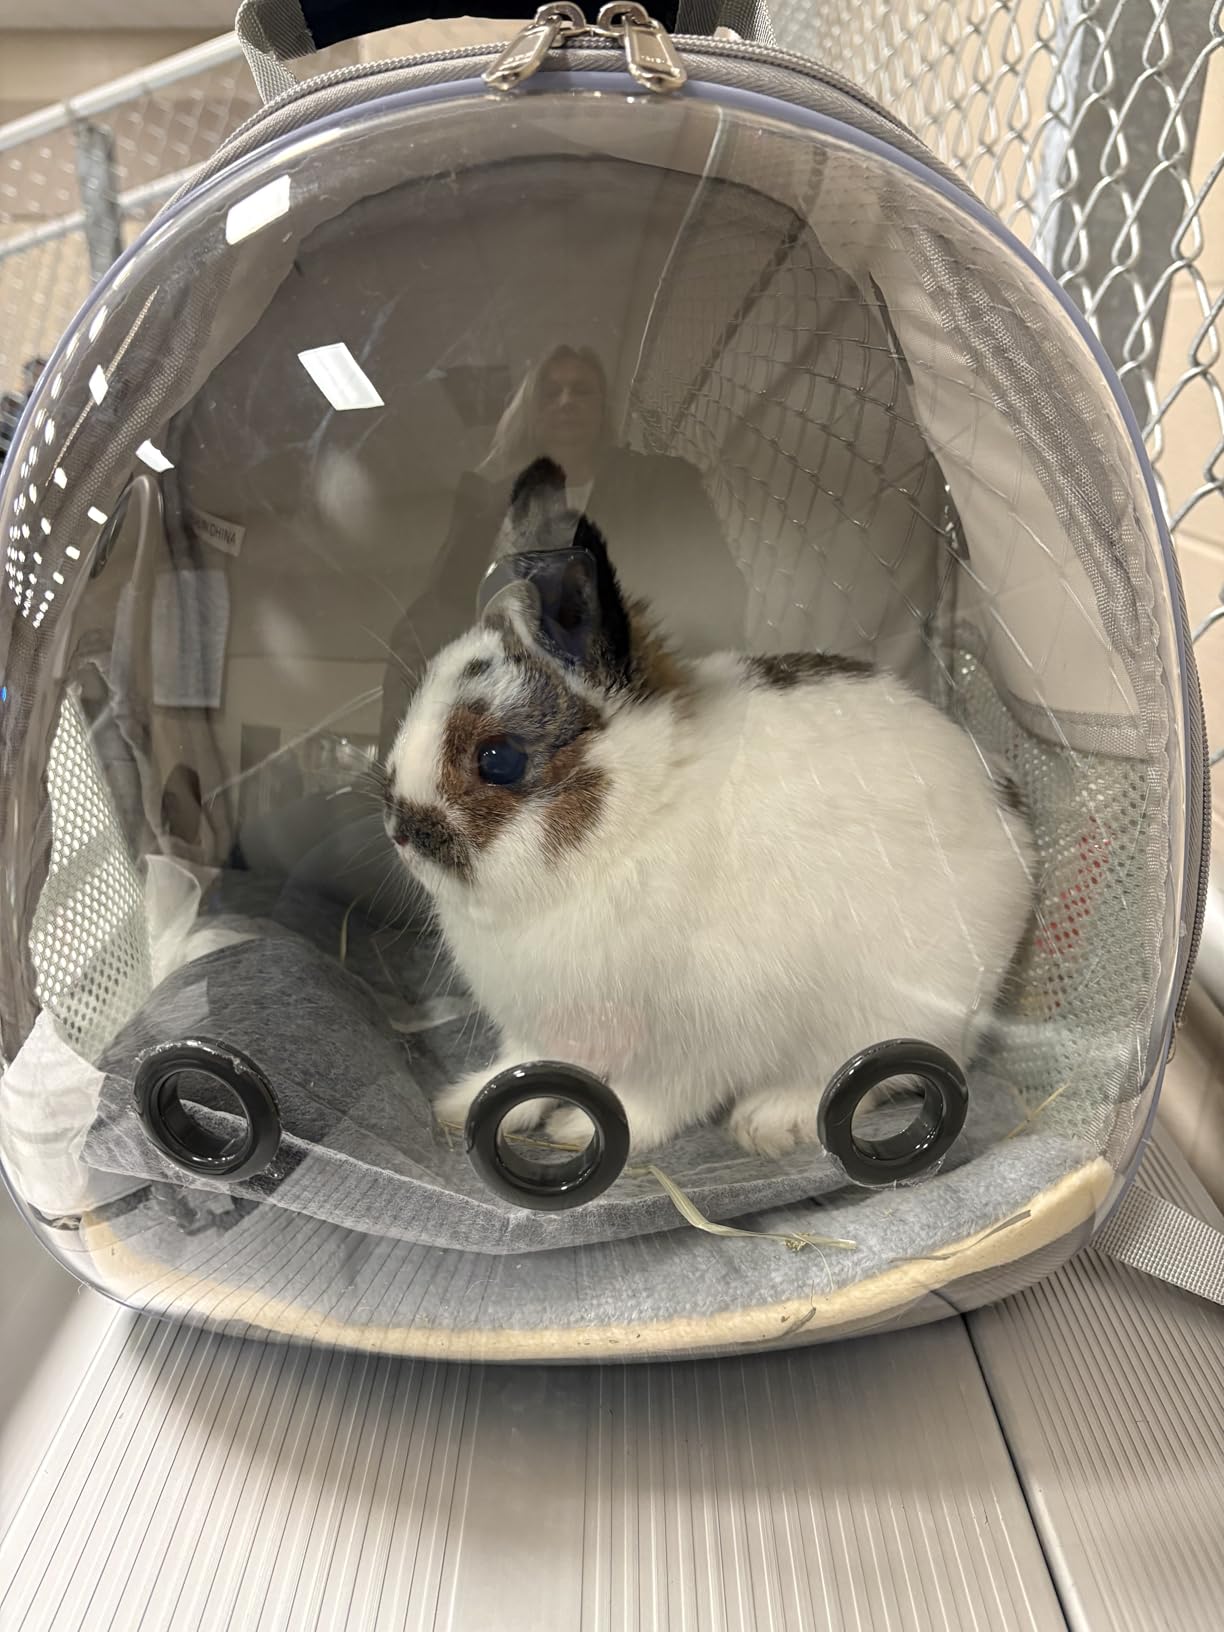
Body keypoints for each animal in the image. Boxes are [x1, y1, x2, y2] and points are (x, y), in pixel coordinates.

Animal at [384, 458, 1035, 1159]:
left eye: (497, 759)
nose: (399, 829)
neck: (629, 826)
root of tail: (1013, 827)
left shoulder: (694, 1045)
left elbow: (651, 1101)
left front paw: (578, 1130)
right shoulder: (541, 1025)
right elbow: (521, 1065)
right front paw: (460, 1106)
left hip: (894, 1015)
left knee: (882, 1077)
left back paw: (771, 1119)